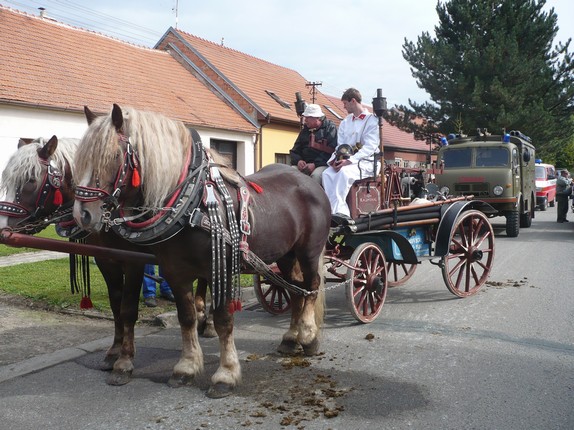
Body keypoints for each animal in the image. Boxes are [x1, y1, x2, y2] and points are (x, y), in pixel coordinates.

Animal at [72, 105, 332, 400]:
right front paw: (186, 367)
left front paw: (226, 374)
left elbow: (223, 319)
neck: (191, 204)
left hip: (308, 251)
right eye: (80, 159)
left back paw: (308, 337)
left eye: (114, 156)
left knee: (311, 286)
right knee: (295, 289)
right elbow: (186, 317)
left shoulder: (220, 269)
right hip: (285, 255)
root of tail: (308, 182)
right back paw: (291, 338)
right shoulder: (175, 270)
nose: (82, 214)